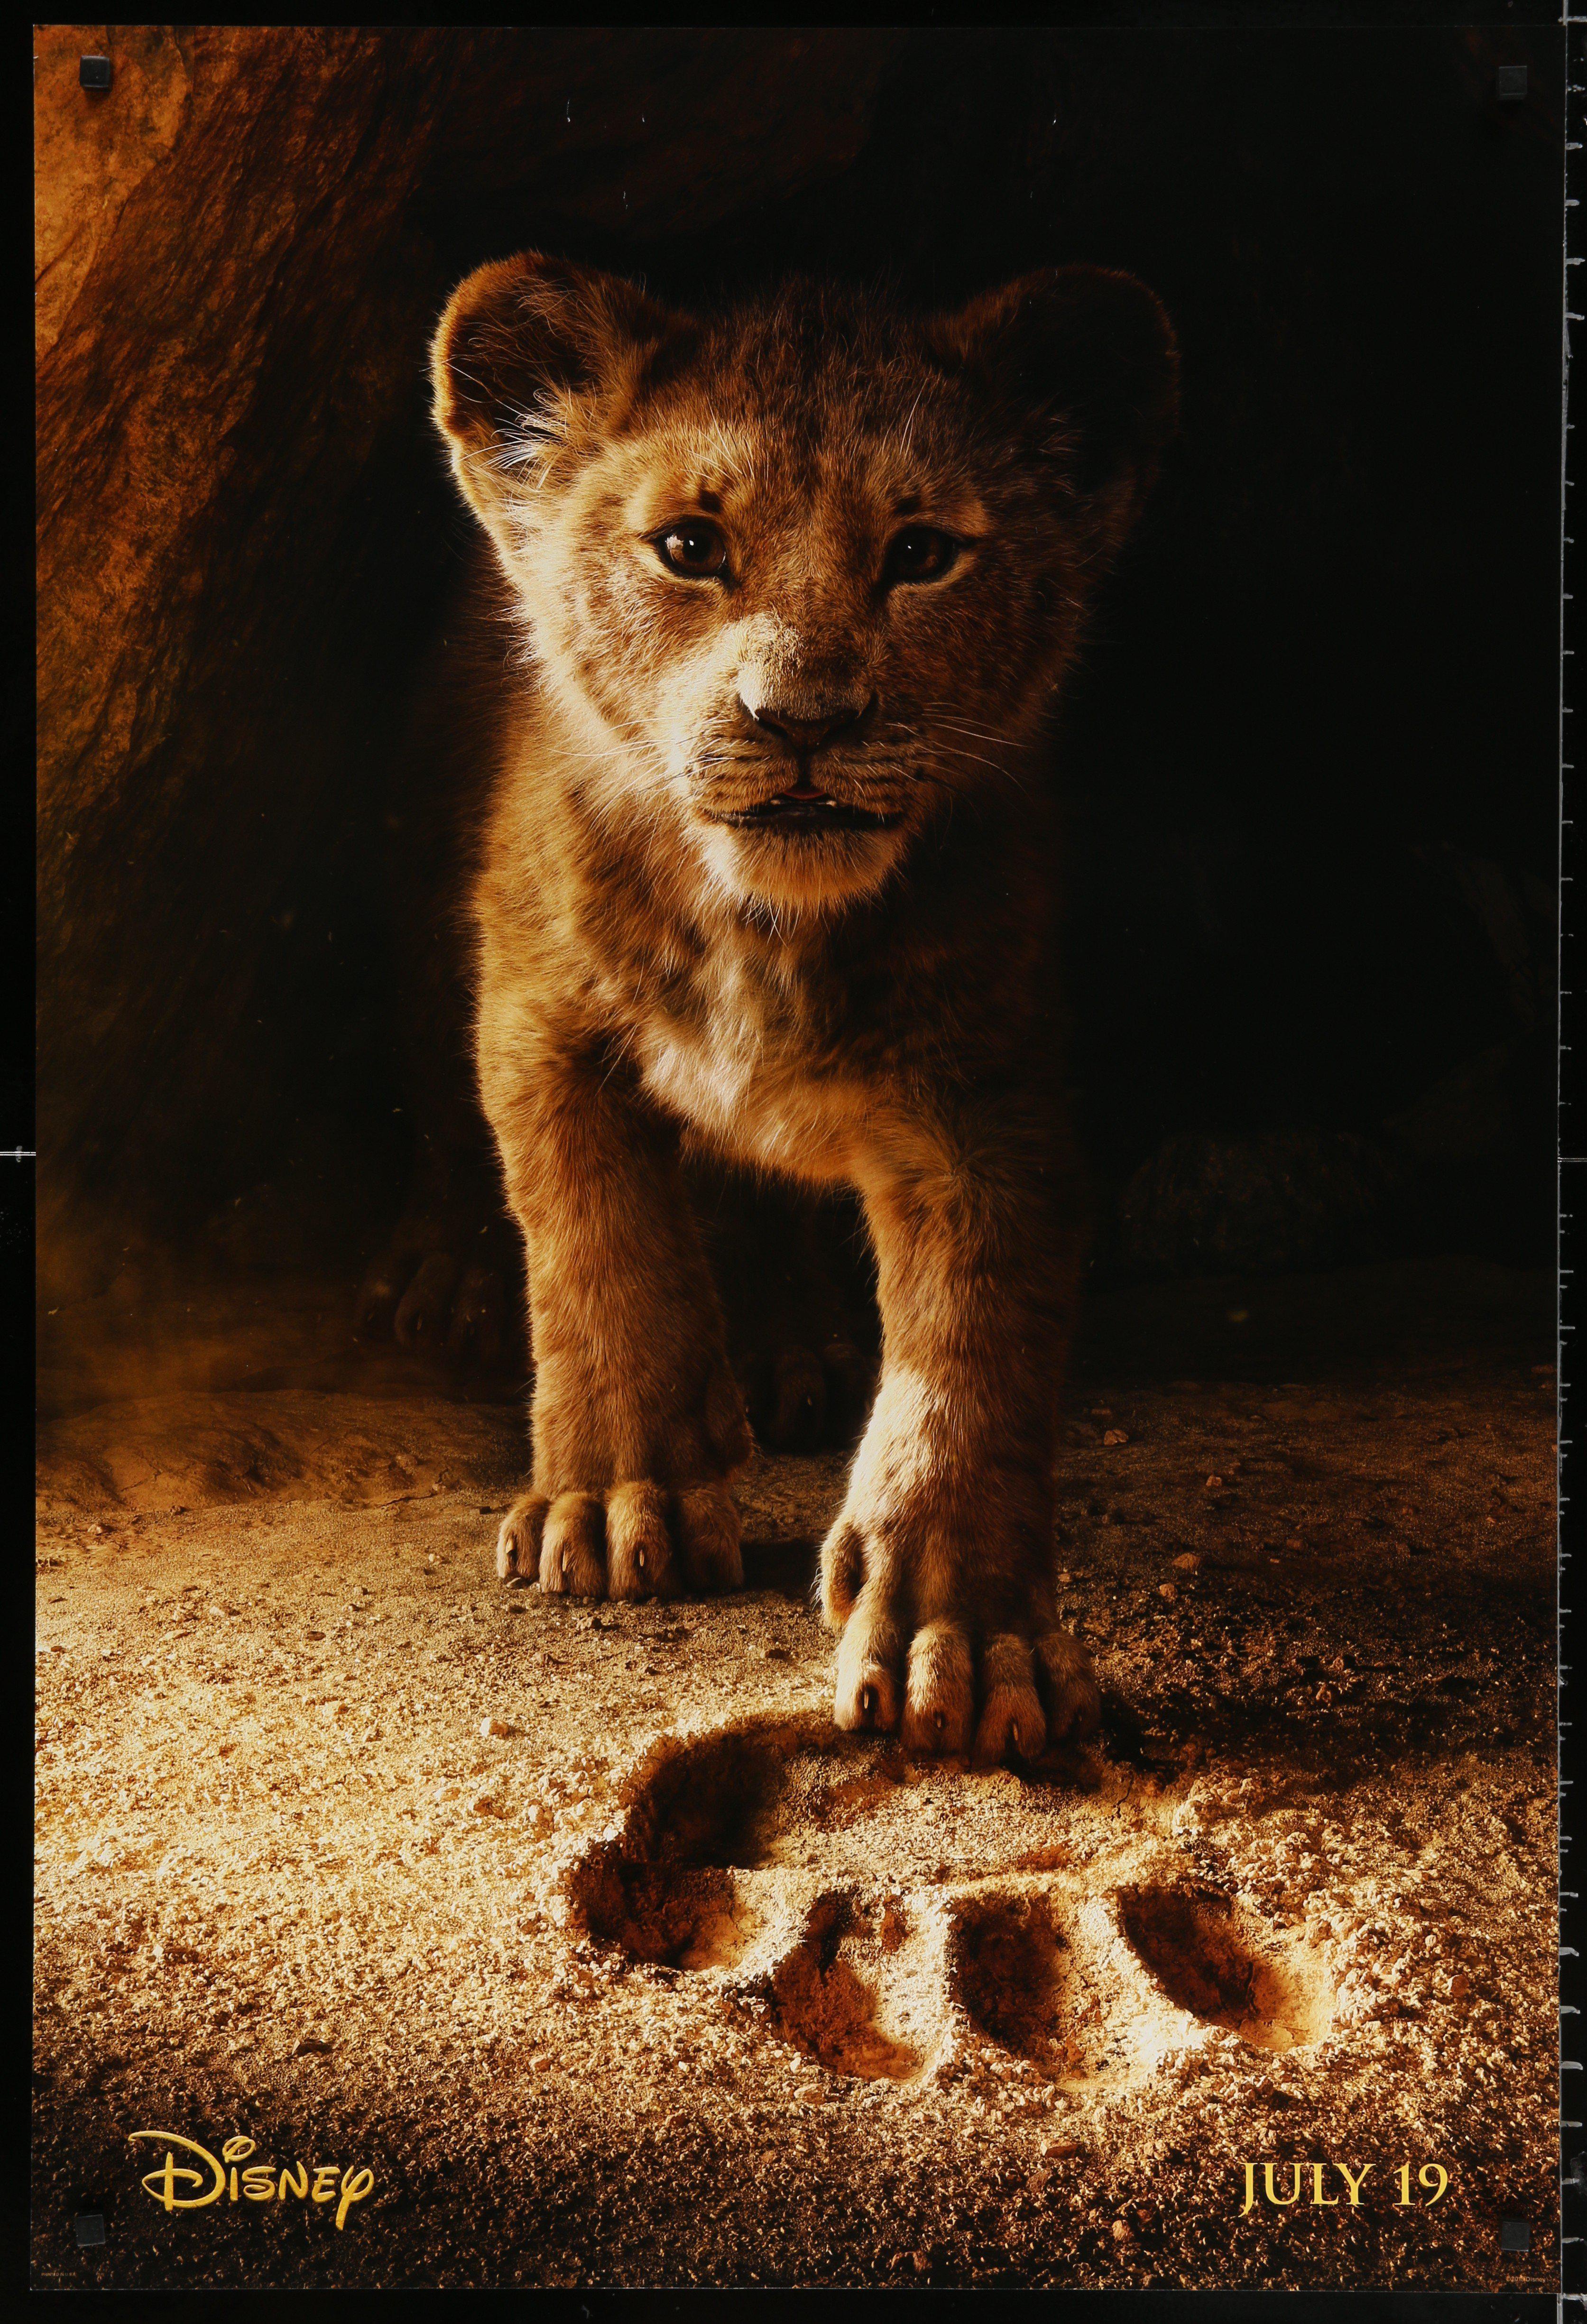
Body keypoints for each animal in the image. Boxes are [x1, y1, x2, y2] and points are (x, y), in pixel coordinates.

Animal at [422, 251, 1177, 1763]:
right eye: (688, 547)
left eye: (924, 554)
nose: (805, 720)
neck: (762, 928)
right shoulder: (537, 1015)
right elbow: (600, 1251)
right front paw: (618, 1498)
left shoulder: (988, 1095)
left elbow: (971, 1354)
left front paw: (964, 1634)